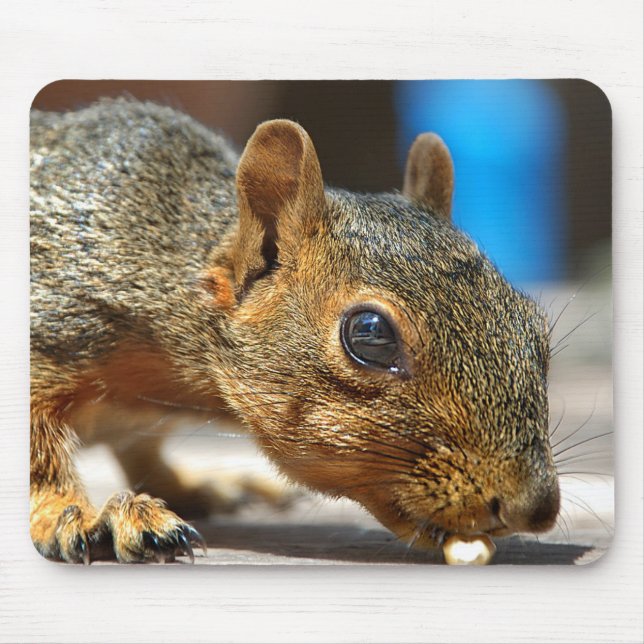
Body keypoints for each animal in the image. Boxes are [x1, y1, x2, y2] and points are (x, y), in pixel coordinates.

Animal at [30, 97, 560, 563]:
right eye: (370, 334)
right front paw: (74, 516)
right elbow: (39, 454)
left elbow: (140, 448)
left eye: (533, 328)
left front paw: (181, 487)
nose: (535, 507)